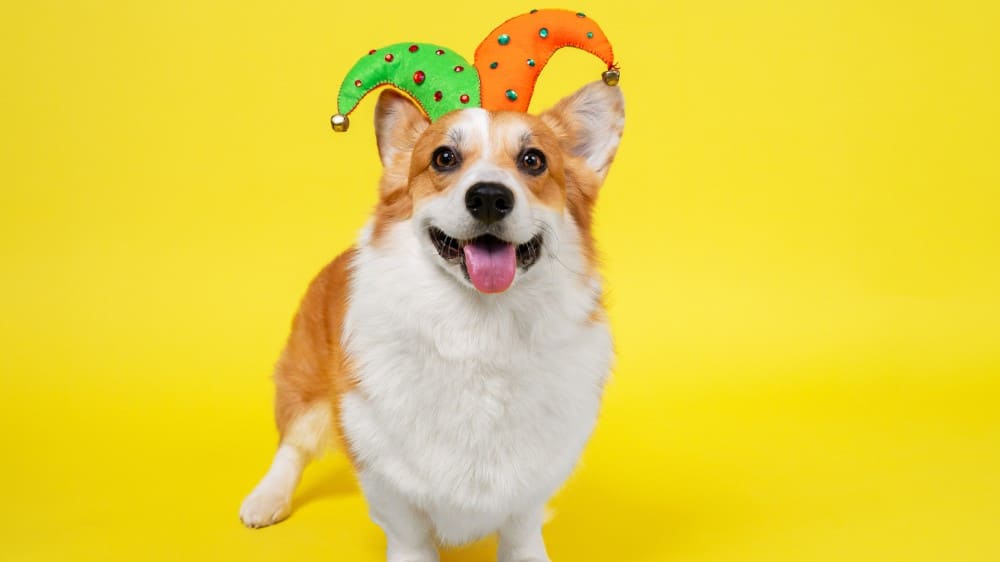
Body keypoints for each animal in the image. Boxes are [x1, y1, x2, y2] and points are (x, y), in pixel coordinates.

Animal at [240, 79, 624, 562]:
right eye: (444, 158)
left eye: (533, 160)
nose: (489, 197)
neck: (480, 328)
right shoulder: (385, 473)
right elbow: (410, 535)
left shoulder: (533, 480)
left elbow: (521, 531)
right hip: (305, 386)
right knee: (292, 444)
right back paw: (266, 499)